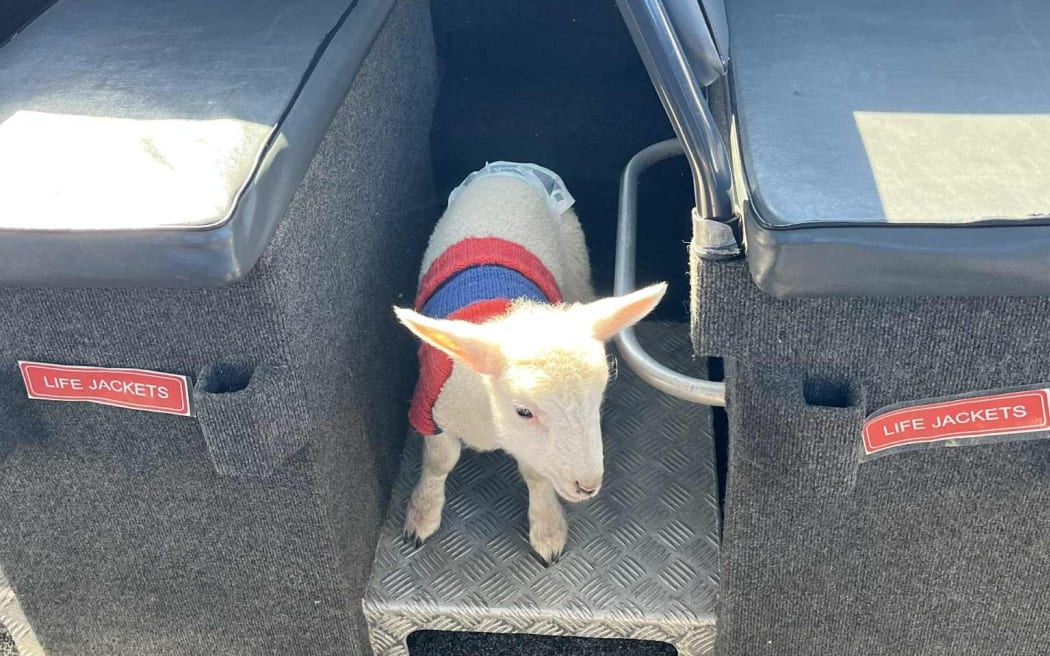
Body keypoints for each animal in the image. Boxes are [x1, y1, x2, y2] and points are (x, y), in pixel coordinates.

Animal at [395, 162, 666, 564]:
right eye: (524, 411)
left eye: (597, 400)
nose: (587, 486)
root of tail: (509, 168)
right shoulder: (430, 407)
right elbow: (439, 461)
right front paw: (422, 513)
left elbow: (536, 476)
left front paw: (547, 528)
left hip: (574, 256)